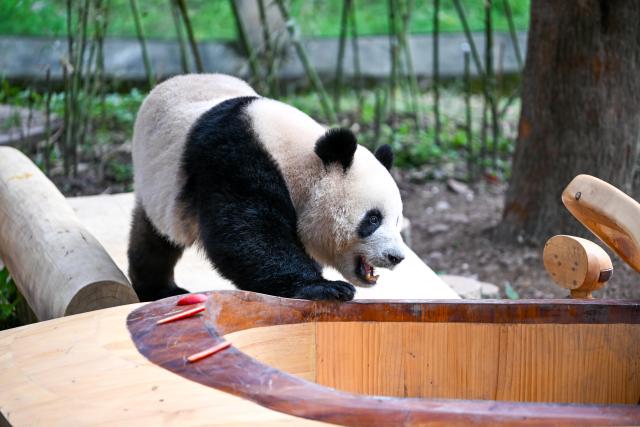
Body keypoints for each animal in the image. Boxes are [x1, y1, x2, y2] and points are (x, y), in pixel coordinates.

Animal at [128, 74, 407, 302]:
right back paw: (158, 289)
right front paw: (324, 287)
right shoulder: (233, 158)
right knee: (156, 237)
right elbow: (247, 232)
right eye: (372, 219)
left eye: (396, 220)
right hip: (157, 180)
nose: (397, 257)